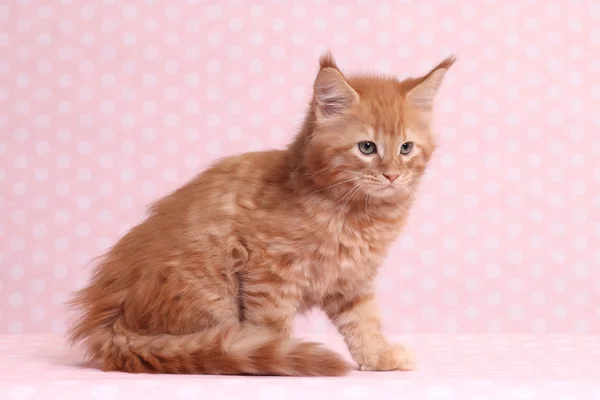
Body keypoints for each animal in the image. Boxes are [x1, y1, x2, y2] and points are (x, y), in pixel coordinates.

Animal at [69, 52, 454, 376]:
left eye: (406, 148)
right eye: (367, 147)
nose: (392, 175)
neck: (355, 211)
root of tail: (109, 326)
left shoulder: (352, 278)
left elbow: (364, 320)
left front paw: (377, 355)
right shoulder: (268, 271)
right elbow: (272, 326)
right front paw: (280, 352)